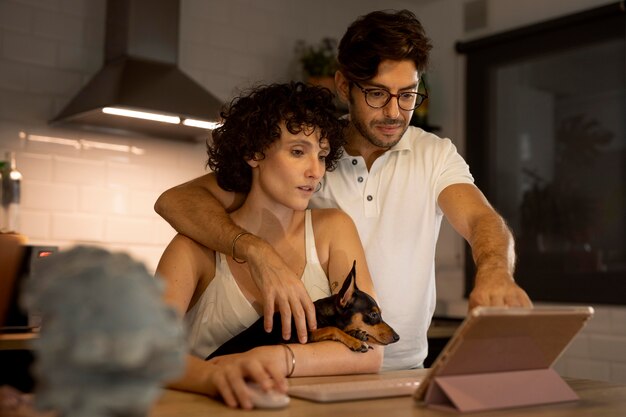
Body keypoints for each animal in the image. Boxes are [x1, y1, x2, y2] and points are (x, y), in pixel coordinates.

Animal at [207, 260, 398, 358]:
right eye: (373, 314)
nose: (397, 337)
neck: (322, 314)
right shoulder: (300, 337)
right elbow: (332, 328)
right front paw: (355, 342)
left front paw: (357, 334)